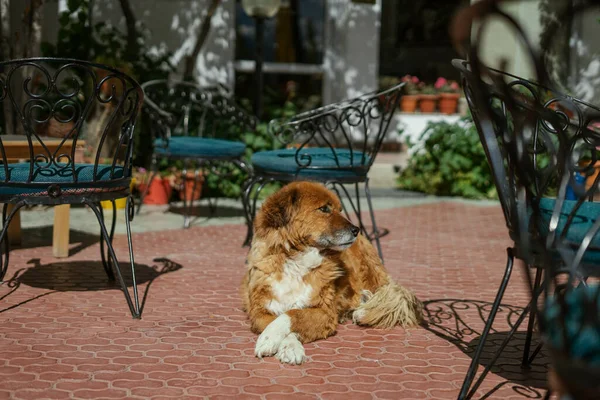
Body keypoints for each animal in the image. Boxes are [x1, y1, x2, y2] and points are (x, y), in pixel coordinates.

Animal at [239, 183, 422, 364]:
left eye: (340, 210)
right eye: (324, 209)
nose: (356, 230)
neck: (296, 259)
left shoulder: (325, 312)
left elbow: (292, 314)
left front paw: (273, 340)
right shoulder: (260, 311)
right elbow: (282, 318)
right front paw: (286, 345)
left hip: (371, 272)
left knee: (386, 298)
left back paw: (363, 311)